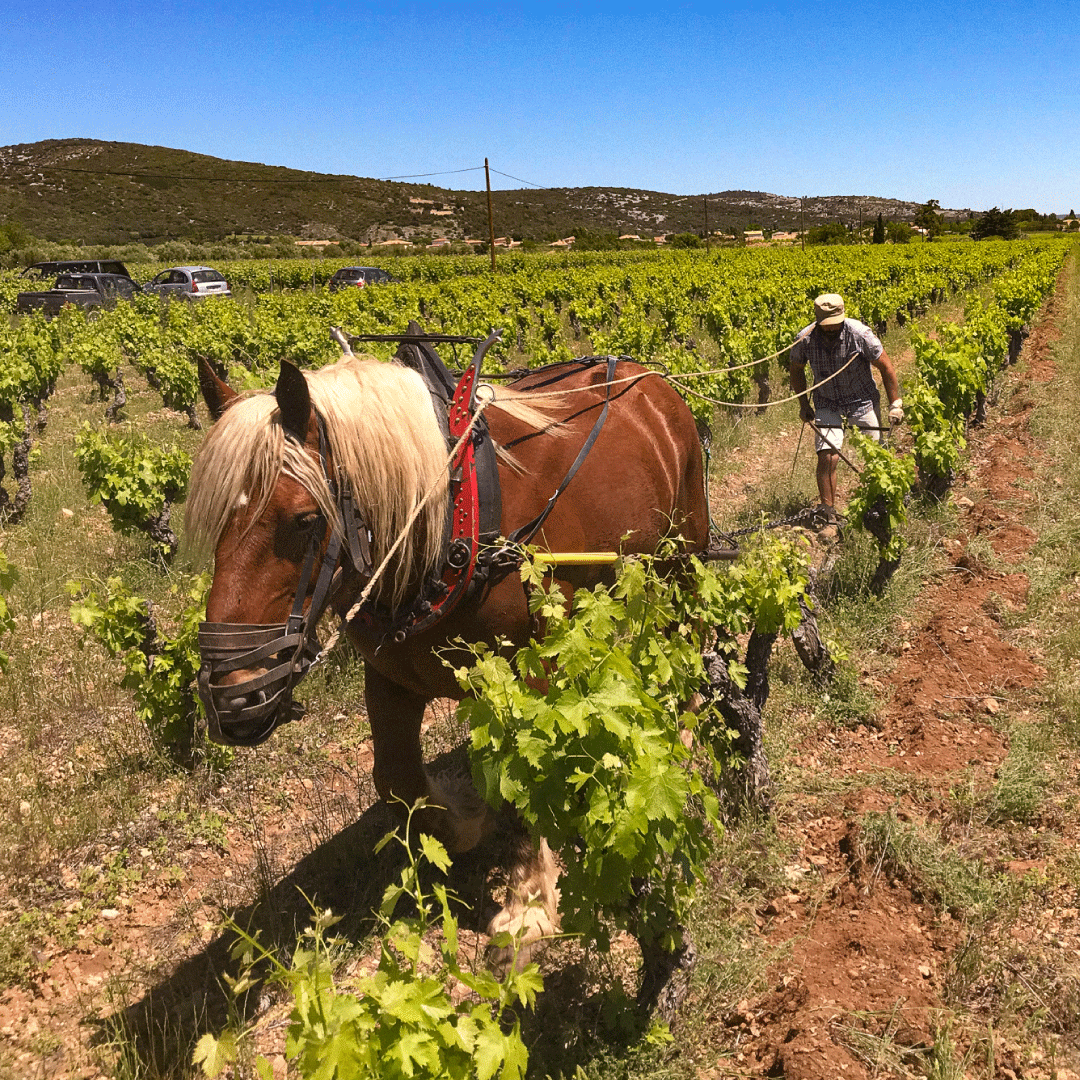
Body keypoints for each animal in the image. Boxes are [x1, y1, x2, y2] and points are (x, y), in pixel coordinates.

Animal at [187, 332, 708, 989]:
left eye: (303, 520)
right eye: (214, 523)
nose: (234, 698)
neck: (441, 527)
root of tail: (650, 379)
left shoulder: (529, 674)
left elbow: (527, 779)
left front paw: (527, 909)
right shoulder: (390, 678)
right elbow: (397, 781)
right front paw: (465, 820)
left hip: (686, 556)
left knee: (690, 638)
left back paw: (683, 732)